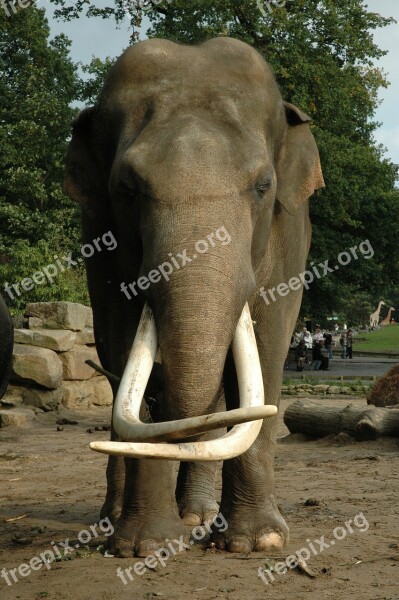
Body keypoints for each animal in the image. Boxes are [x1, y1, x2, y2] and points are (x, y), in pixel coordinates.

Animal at [64, 37, 324, 556]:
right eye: (126, 188)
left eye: (264, 186)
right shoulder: (99, 239)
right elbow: (121, 342)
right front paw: (143, 547)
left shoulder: (290, 238)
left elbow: (269, 350)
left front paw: (257, 542)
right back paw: (117, 521)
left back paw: (197, 517)